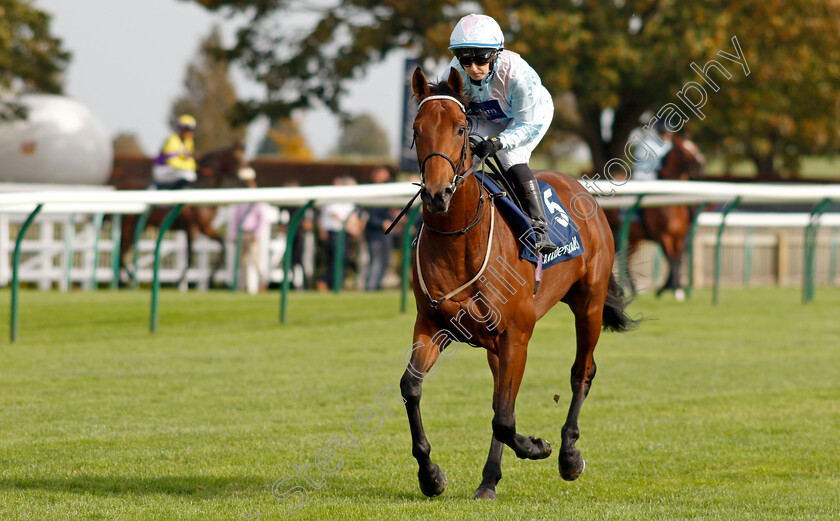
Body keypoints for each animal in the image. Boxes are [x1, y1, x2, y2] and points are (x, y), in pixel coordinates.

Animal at [113, 142, 243, 286]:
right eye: (237, 159)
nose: (248, 181)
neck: (202, 188)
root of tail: (120, 185)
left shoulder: (204, 227)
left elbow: (222, 245)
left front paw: (211, 278)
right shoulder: (192, 228)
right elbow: (191, 257)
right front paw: (178, 281)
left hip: (139, 227)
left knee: (122, 251)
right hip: (128, 225)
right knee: (120, 252)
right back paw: (126, 281)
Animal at [400, 68, 636, 500]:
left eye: (461, 129)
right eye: (416, 128)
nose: (438, 194)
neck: (460, 241)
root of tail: (578, 187)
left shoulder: (517, 333)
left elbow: (505, 418)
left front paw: (538, 446)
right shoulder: (433, 325)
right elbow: (412, 388)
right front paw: (431, 475)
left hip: (589, 305)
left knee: (582, 372)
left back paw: (568, 456)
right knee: (501, 398)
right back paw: (489, 480)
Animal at [608, 134, 704, 298]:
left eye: (695, 147)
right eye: (683, 150)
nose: (701, 165)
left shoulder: (679, 237)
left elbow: (677, 260)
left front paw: (669, 288)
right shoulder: (662, 235)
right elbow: (671, 260)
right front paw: (675, 290)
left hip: (634, 238)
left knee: (627, 260)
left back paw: (633, 290)